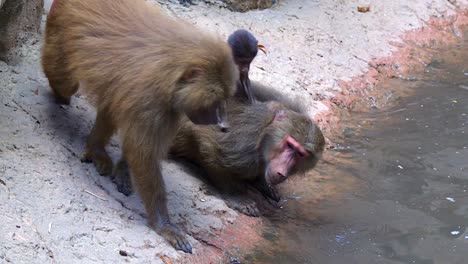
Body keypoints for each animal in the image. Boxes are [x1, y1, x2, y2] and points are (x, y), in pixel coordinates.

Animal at [41, 0, 238, 253]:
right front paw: (164, 225)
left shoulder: (166, 107)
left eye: (225, 99)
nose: (223, 125)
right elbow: (143, 154)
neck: (172, 68)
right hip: (62, 31)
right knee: (64, 82)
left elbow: (136, 146)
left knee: (109, 102)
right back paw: (61, 98)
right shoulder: (150, 102)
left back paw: (95, 150)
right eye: (215, 102)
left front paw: (124, 170)